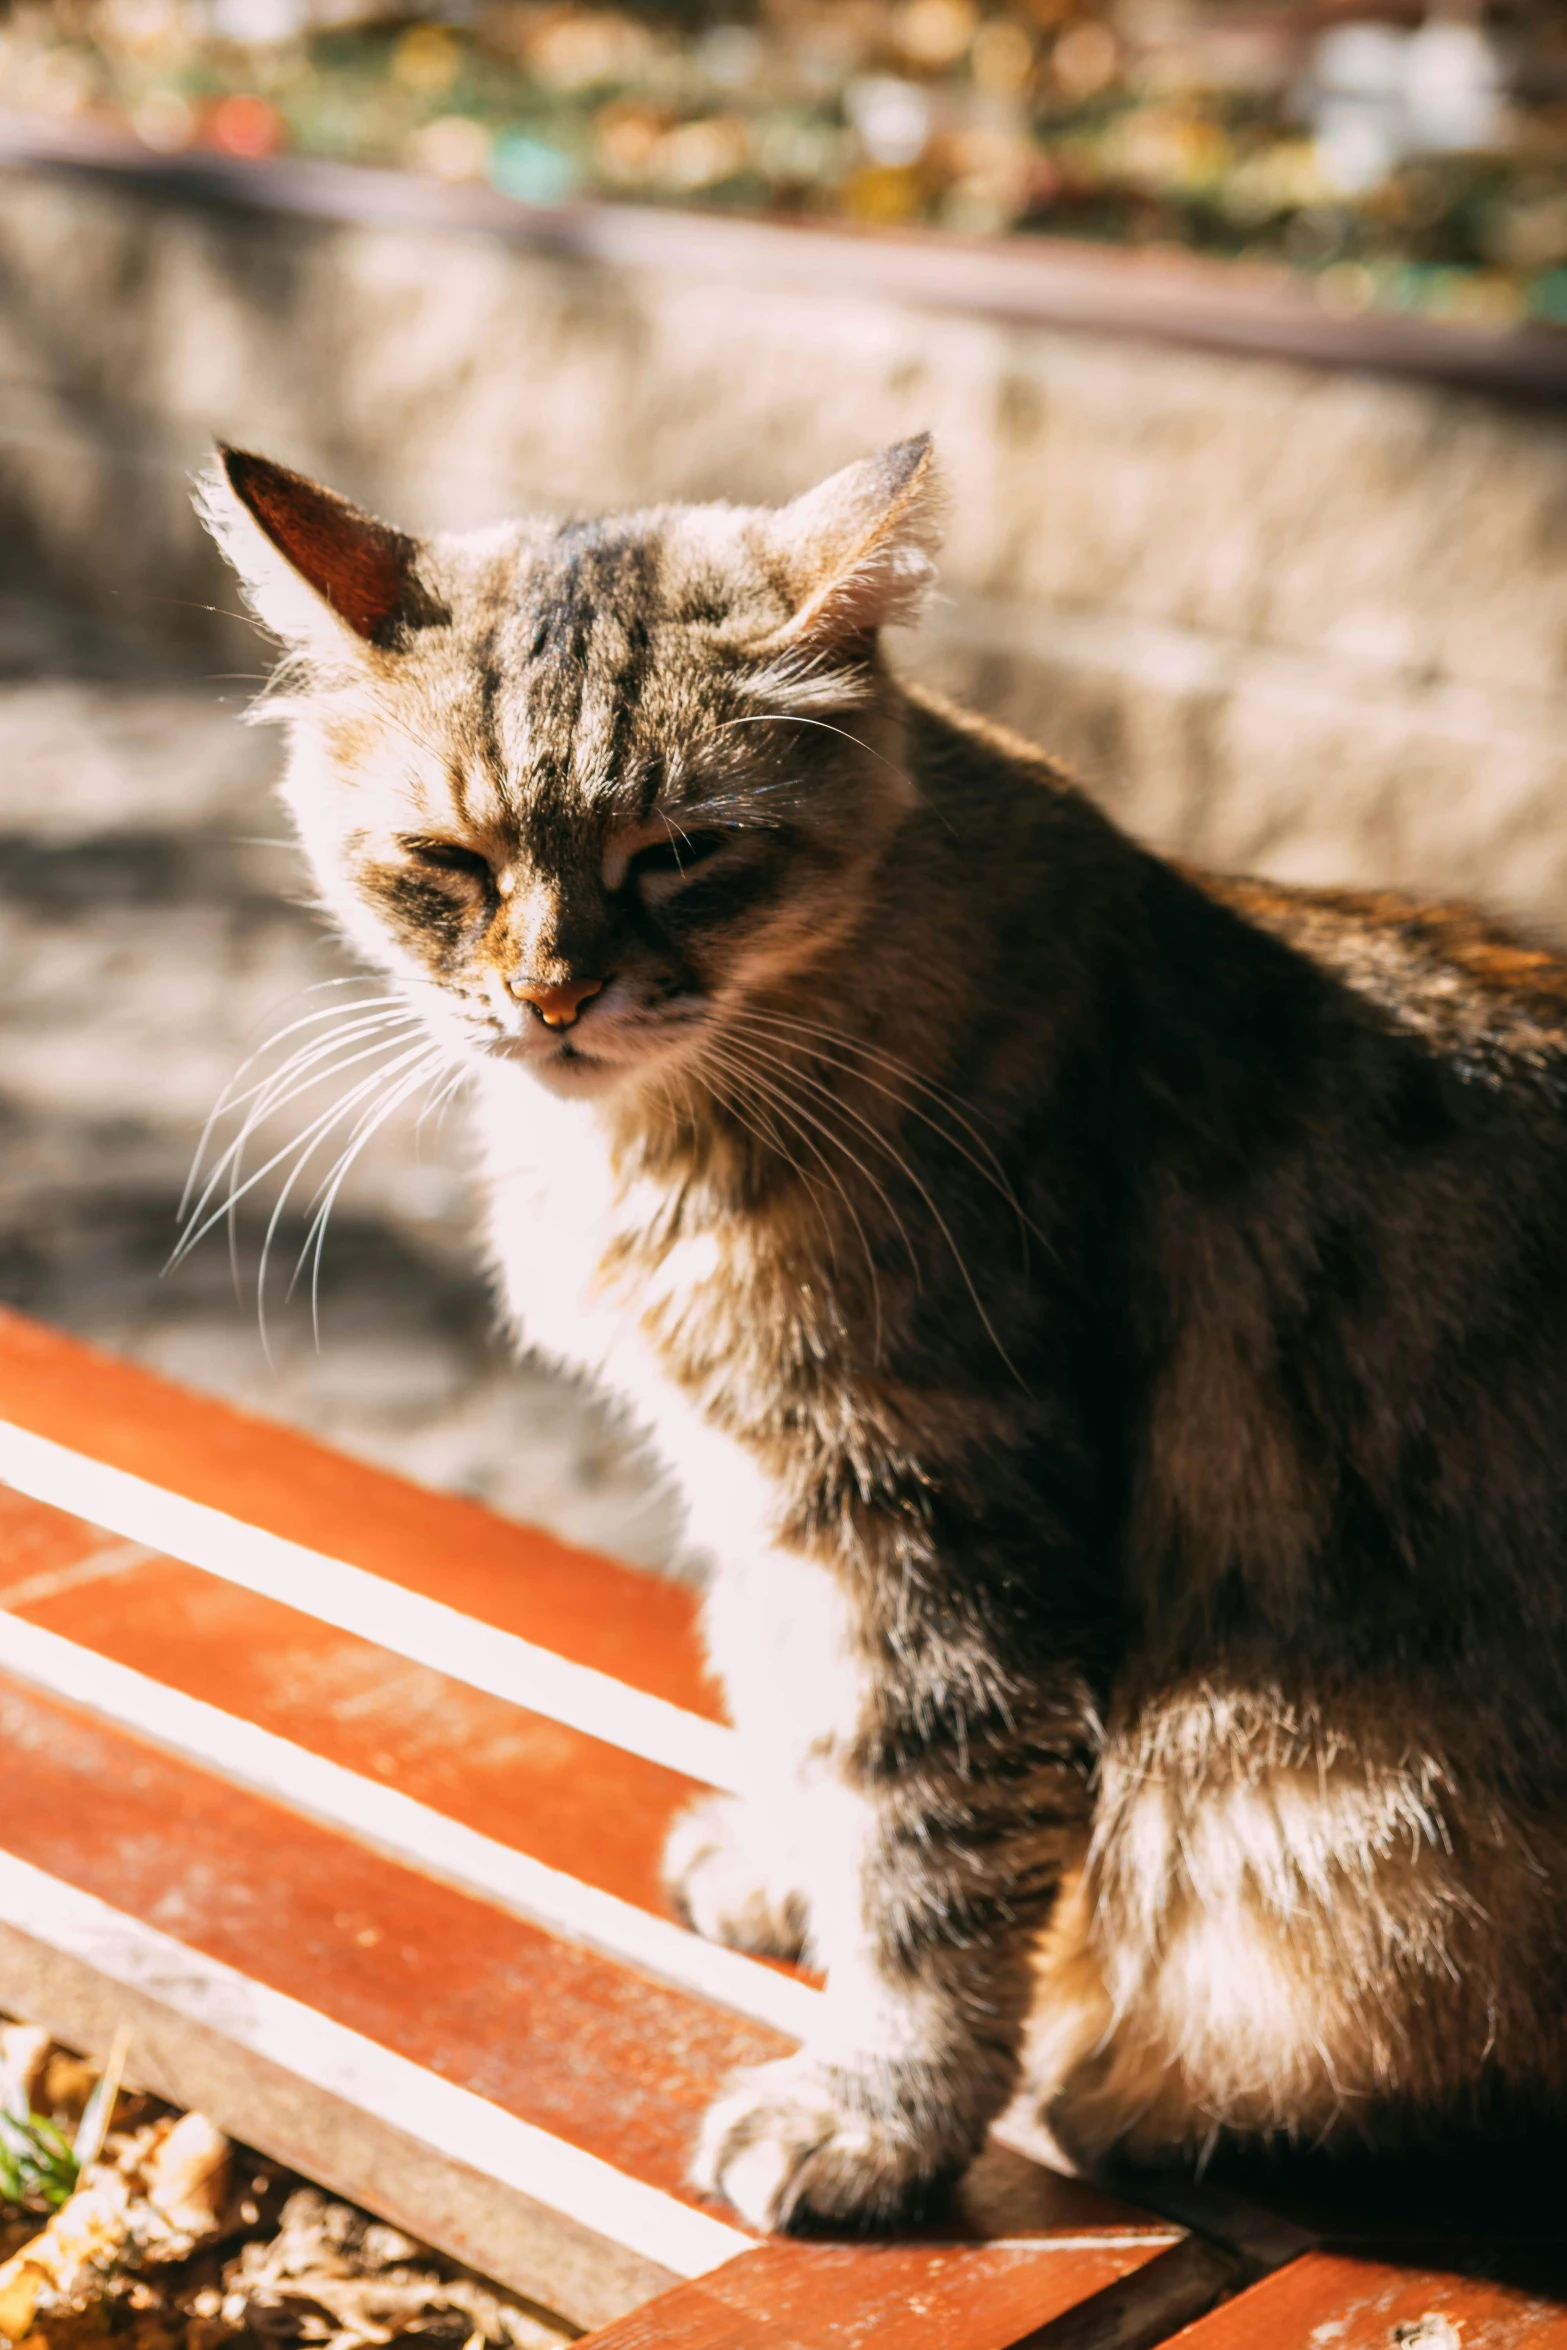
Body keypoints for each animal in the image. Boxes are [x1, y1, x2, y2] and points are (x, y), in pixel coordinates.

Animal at [202, 437, 1567, 2218]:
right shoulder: (771, 1498)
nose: (553, 994)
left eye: (679, 850)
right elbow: (808, 1721)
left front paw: (875, 2114)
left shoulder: (936, 1513)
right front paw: (790, 1874)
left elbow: (930, 1859)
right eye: (448, 860)